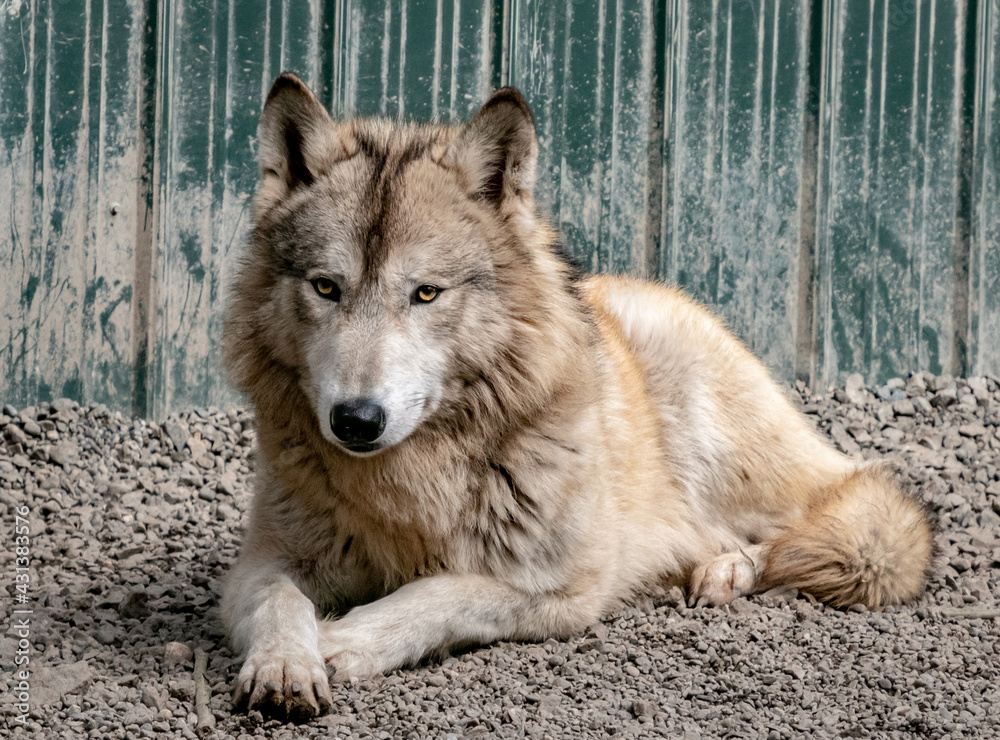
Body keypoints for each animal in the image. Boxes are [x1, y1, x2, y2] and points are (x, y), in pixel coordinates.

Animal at [221, 72, 935, 719]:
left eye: (425, 293)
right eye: (326, 288)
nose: (356, 420)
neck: (415, 477)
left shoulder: (565, 586)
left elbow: (436, 594)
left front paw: (339, 642)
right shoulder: (260, 565)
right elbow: (281, 603)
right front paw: (286, 663)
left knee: (838, 520)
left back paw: (727, 569)